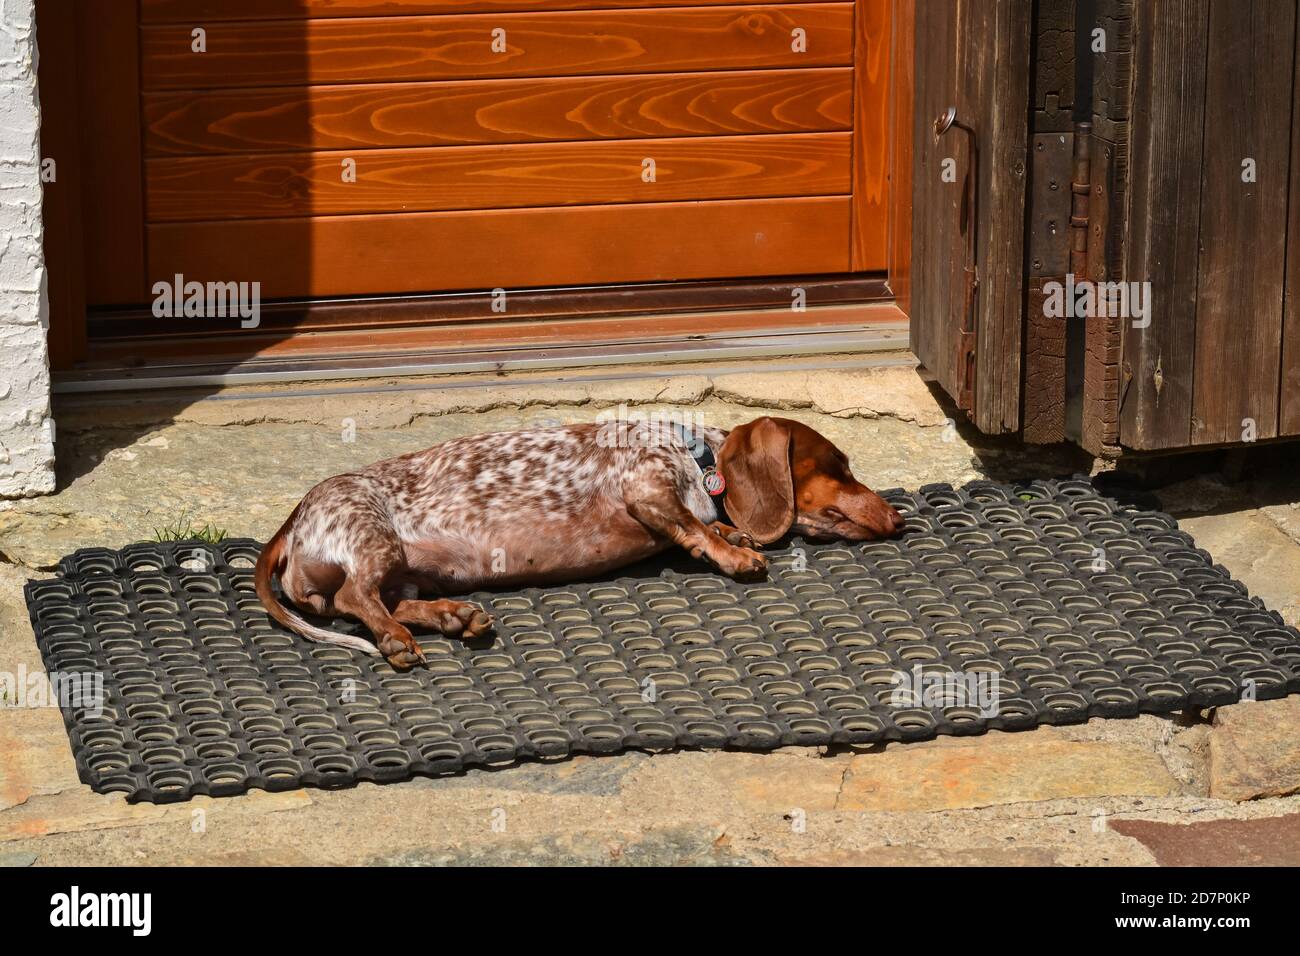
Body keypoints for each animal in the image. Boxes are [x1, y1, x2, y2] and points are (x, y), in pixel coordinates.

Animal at [253, 416, 904, 671]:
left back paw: (451, 616)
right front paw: (731, 549)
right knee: (356, 601)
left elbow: (707, 523)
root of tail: (294, 519)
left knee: (389, 601)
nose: (900, 518)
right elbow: (690, 526)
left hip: (404, 569)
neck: (696, 457)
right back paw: (395, 639)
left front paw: (731, 530)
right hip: (373, 540)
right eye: (841, 466)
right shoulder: (643, 486)